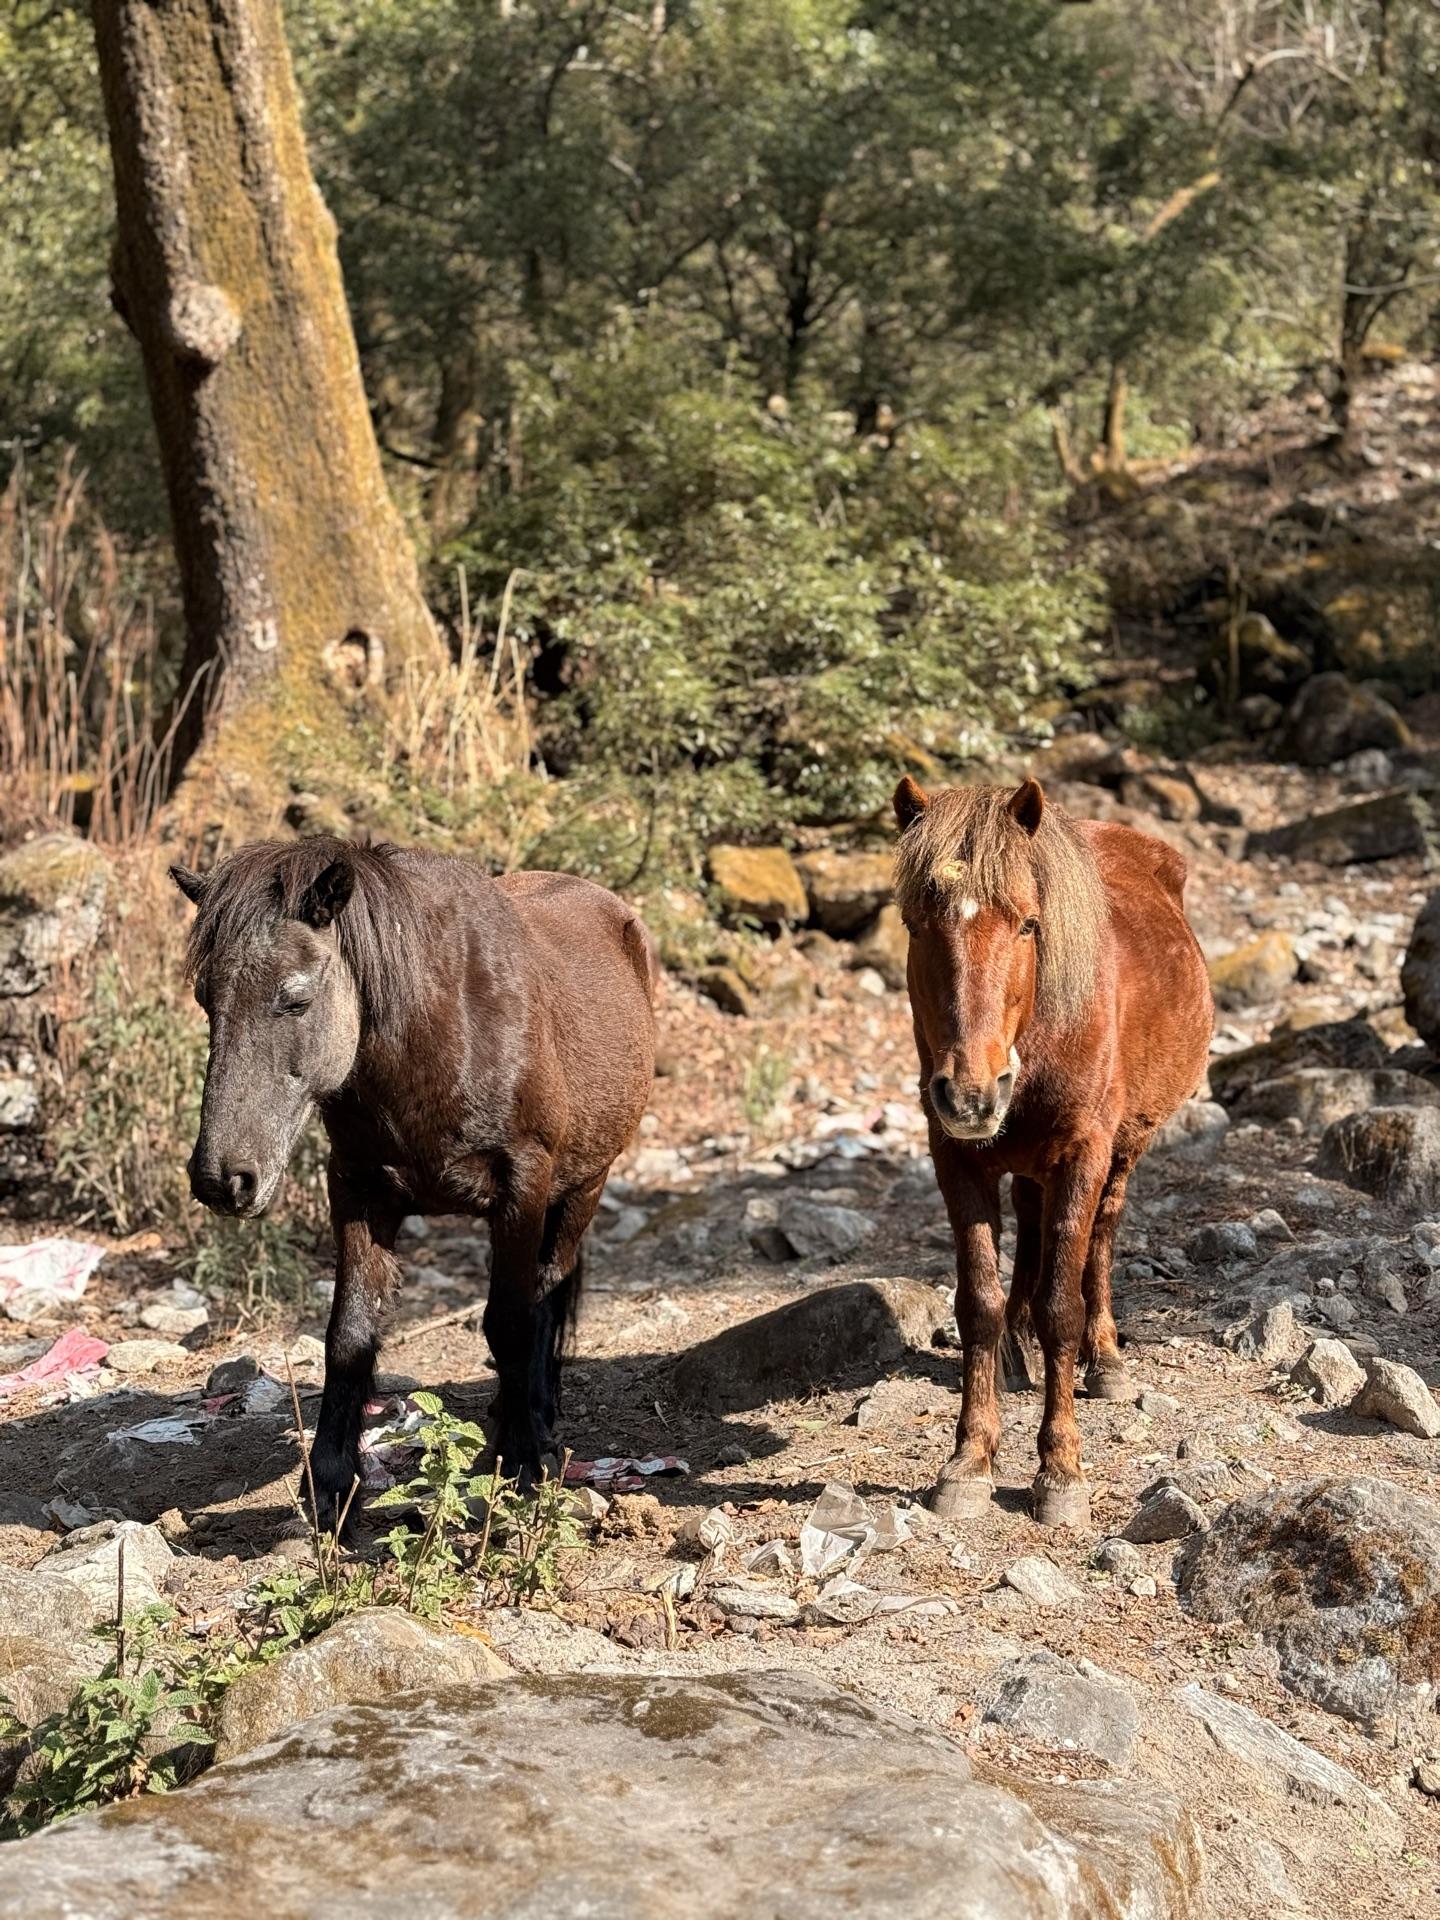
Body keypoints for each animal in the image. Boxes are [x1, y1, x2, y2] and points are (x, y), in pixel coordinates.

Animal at [170, 837, 657, 1523]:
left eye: (295, 999)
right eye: (206, 1000)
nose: (222, 1179)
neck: (442, 1034)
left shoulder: (523, 1190)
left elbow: (511, 1323)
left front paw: (522, 1463)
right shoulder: (357, 1192)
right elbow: (349, 1337)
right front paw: (329, 1485)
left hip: (582, 1189)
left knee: (548, 1292)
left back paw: (534, 1421)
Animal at [893, 775, 1212, 1529]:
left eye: (1028, 924)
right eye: (917, 925)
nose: (971, 1093)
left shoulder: (1082, 1156)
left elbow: (1060, 1305)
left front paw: (1060, 1468)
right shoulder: (957, 1160)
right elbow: (978, 1302)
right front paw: (970, 1459)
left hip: (1122, 1153)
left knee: (1098, 1240)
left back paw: (1106, 1359)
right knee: (1033, 1235)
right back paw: (1016, 1351)